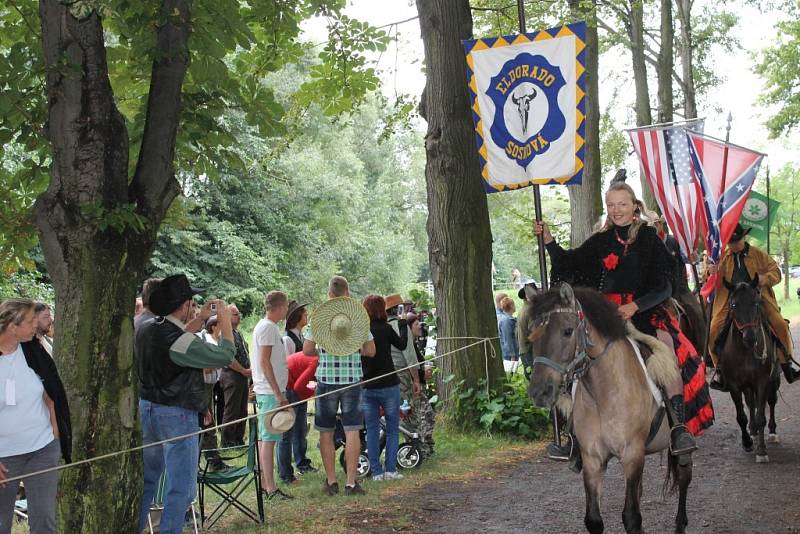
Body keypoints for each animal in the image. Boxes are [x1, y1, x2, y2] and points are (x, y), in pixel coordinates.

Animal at [528, 286, 692, 532]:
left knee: (683, 476)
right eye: (531, 334)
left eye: (567, 331)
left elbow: (631, 517)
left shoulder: (632, 454)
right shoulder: (593, 459)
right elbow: (594, 519)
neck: (603, 395)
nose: (539, 392)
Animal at [716, 274, 780, 462]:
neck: (745, 352)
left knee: (771, 402)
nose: (750, 338)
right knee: (751, 403)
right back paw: (752, 431)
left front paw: (762, 450)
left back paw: (772, 432)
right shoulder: (734, 385)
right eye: (733, 305)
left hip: (773, 380)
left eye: (756, 303)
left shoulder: (762, 381)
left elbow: (761, 416)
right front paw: (747, 442)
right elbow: (741, 416)